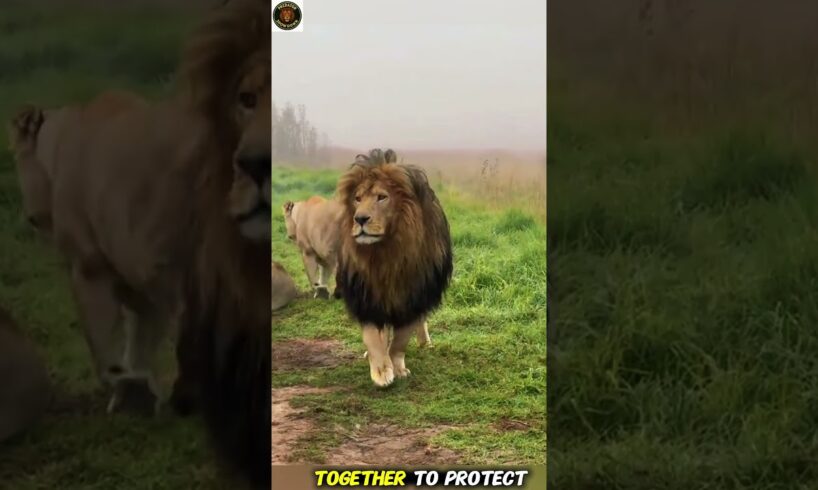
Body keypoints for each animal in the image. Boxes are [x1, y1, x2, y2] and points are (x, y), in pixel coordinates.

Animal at [7, 0, 270, 485]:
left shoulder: (88, 267)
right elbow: (141, 339)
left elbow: (102, 343)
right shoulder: (145, 274)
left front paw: (121, 391)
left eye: (17, 157)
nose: (30, 217)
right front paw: (145, 392)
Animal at [335, 149, 453, 387]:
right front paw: (381, 370)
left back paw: (425, 343)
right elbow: (373, 336)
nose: (359, 218)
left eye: (382, 197)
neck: (385, 254)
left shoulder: (413, 297)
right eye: (357, 198)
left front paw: (397, 367)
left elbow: (400, 340)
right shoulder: (367, 296)